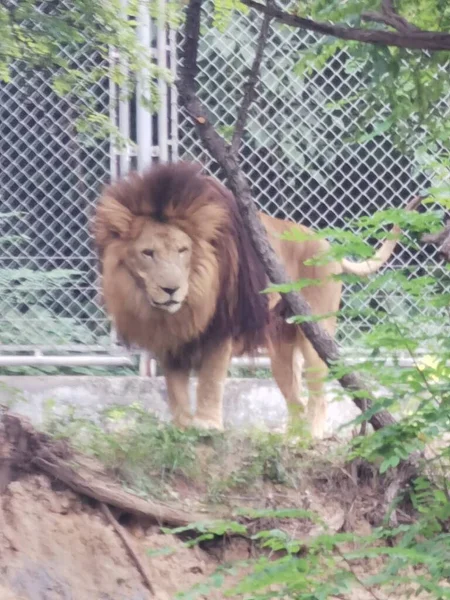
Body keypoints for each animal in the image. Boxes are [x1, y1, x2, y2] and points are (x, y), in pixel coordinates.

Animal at [94, 162, 412, 438]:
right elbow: (175, 388)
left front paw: (207, 425)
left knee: (319, 392)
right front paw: (182, 428)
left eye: (183, 250)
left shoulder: (221, 330)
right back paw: (292, 439)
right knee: (295, 399)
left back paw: (314, 434)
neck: (188, 302)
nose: (170, 290)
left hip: (315, 333)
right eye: (148, 253)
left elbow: (210, 381)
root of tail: (325, 242)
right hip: (281, 350)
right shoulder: (171, 341)